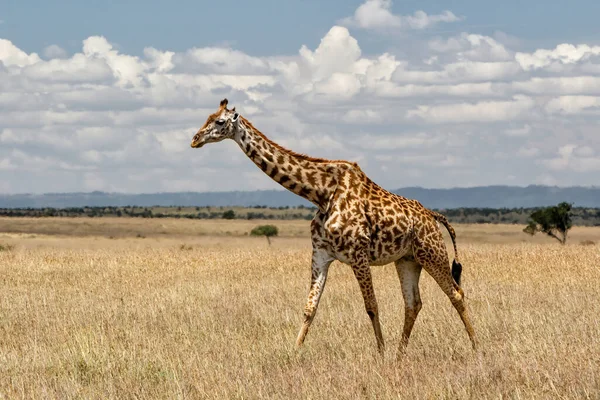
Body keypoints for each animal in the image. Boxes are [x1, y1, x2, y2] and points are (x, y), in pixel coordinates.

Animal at [192, 99, 478, 354]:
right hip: (407, 259)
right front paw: (294, 352)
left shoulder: (358, 254)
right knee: (413, 303)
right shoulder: (320, 253)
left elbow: (371, 306)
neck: (321, 193)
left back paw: (476, 349)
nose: (195, 139)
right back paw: (400, 354)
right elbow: (310, 308)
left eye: (219, 121)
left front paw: (381, 353)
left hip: (432, 253)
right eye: (207, 117)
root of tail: (434, 216)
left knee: (456, 294)